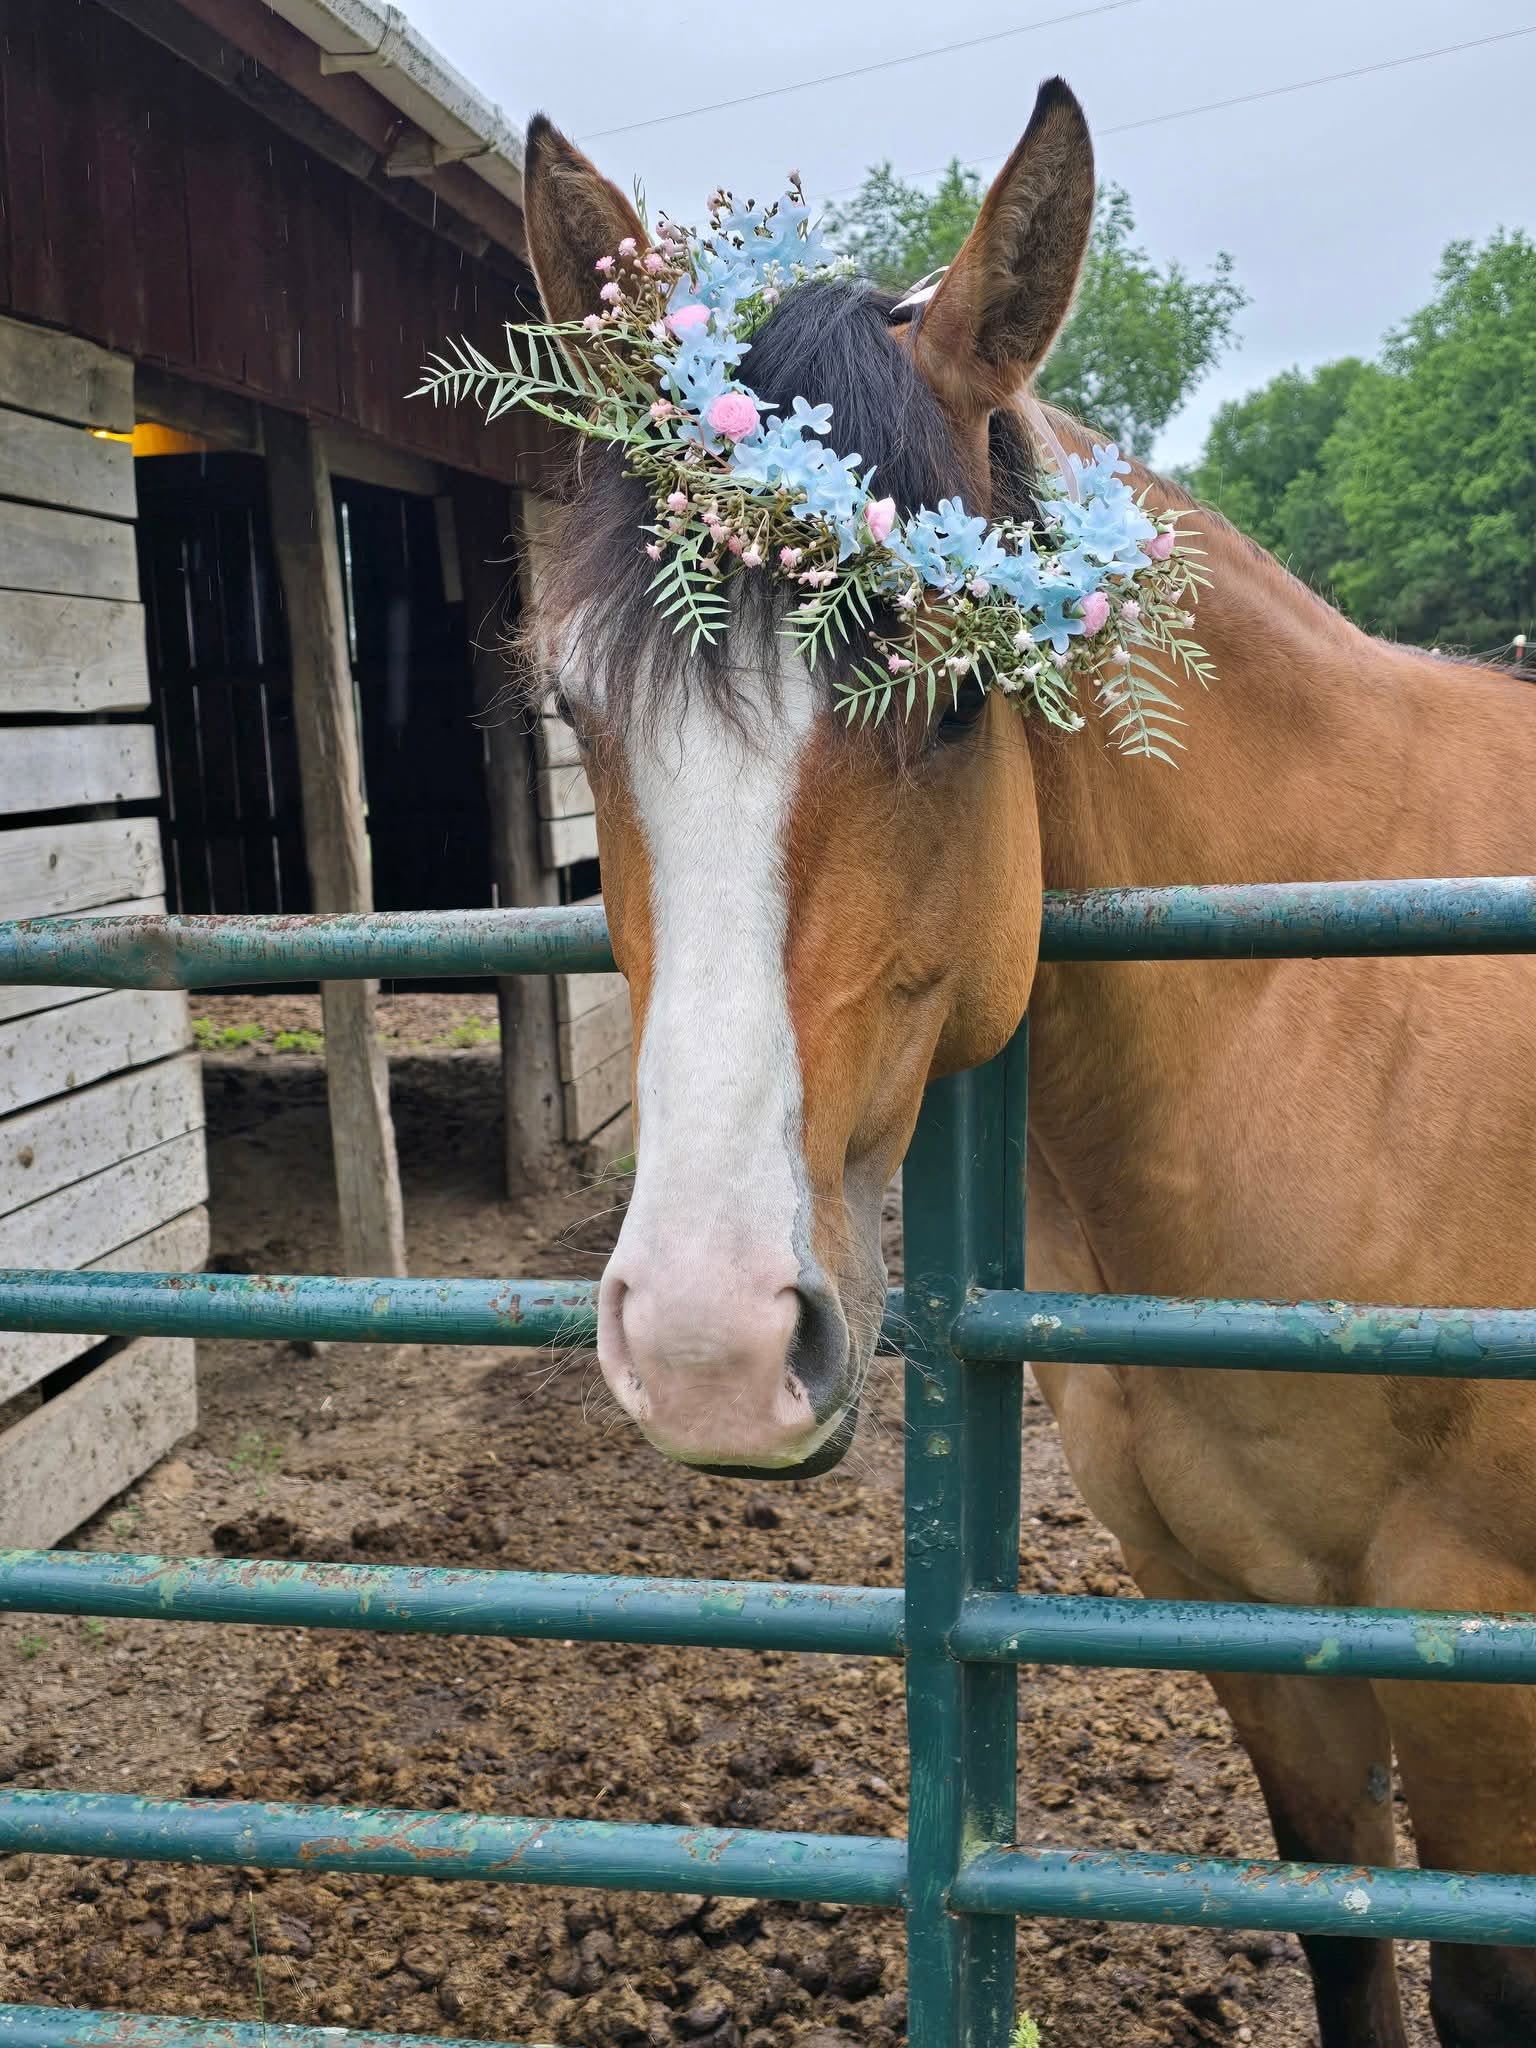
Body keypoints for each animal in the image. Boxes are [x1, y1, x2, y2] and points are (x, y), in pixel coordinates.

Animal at [516, 83, 1536, 2047]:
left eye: (958, 693)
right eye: (573, 708)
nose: (706, 1344)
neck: (1340, 1032)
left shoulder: (1478, 1671)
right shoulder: (1262, 1640)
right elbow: (1350, 1960)